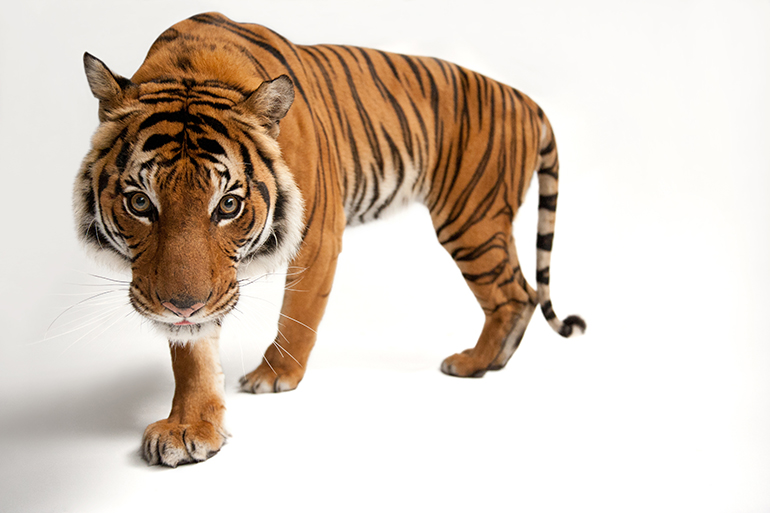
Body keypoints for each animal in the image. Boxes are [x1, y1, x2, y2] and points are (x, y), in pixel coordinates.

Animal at [74, 12, 585, 467]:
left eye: (228, 205)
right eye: (140, 202)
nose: (182, 307)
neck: (192, 67)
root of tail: (526, 99)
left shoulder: (317, 234)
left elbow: (298, 313)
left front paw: (273, 376)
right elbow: (192, 352)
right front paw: (188, 427)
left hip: (471, 219)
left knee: (512, 293)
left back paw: (472, 363)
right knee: (523, 291)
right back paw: (493, 361)